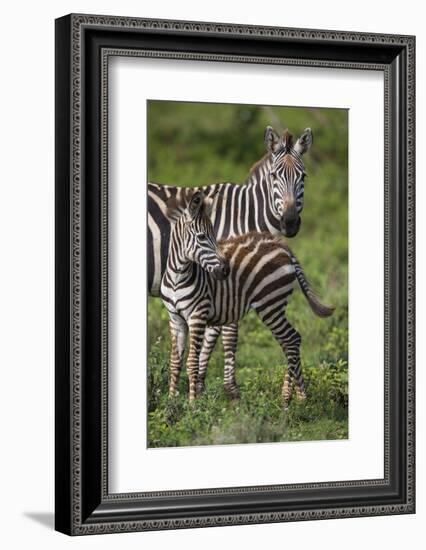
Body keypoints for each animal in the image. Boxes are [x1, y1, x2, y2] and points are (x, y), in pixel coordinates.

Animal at [160, 192, 332, 408]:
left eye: (214, 236)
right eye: (201, 237)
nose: (225, 271)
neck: (177, 277)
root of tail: (283, 247)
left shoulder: (197, 315)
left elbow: (192, 362)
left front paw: (192, 405)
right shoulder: (175, 318)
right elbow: (175, 362)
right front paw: (171, 402)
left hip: (270, 304)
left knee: (291, 340)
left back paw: (287, 399)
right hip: (274, 306)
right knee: (291, 341)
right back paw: (301, 397)